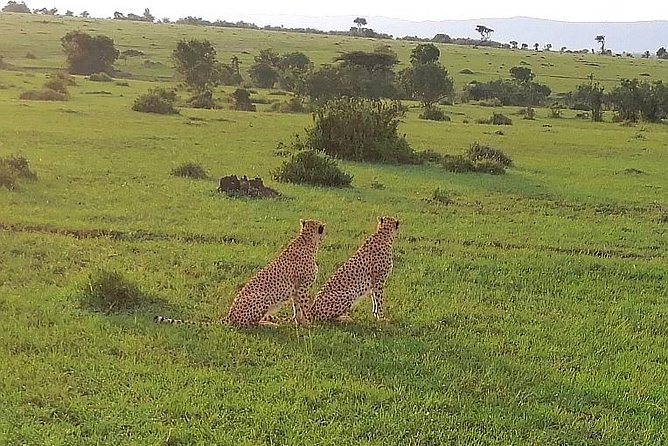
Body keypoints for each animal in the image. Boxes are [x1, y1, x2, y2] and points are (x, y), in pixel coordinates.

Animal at [155, 220, 326, 328]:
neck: (306, 239)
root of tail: (230, 314)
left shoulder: (297, 288)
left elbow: (297, 308)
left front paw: (300, 323)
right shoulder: (303, 287)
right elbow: (304, 306)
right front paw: (309, 324)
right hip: (262, 298)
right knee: (248, 324)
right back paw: (269, 324)